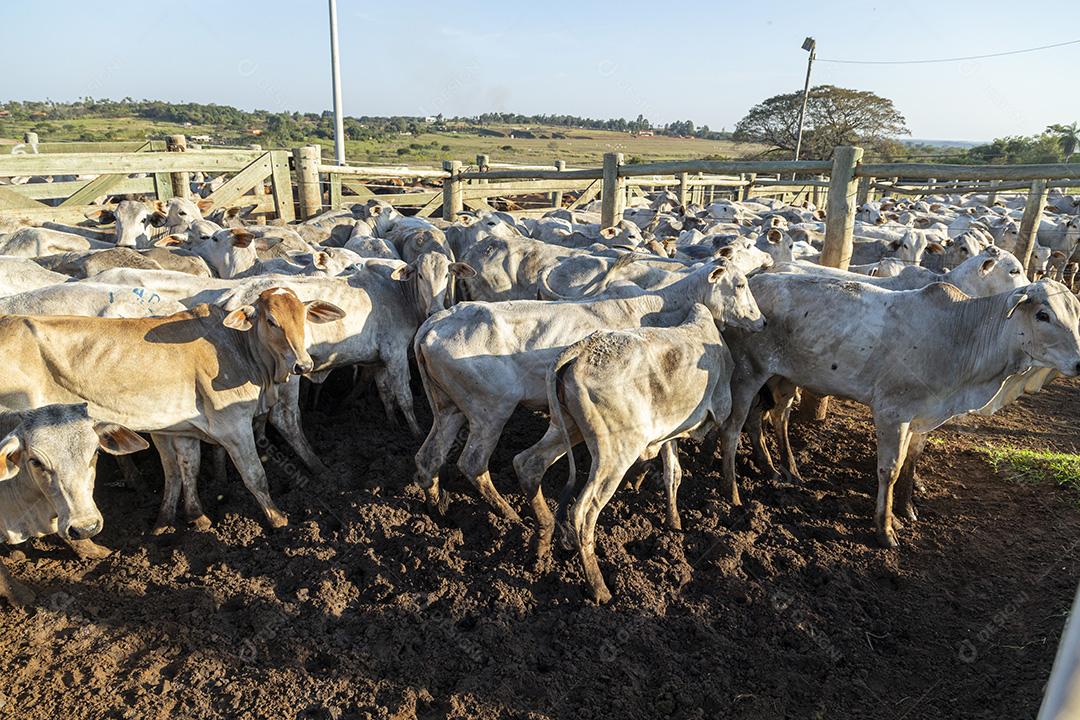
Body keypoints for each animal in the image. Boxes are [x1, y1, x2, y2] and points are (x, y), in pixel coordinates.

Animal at [413, 260, 762, 519]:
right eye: (740, 284)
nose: (761, 321)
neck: (658, 308)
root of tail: (433, 323)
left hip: (448, 410)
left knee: (428, 458)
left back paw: (436, 506)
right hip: (491, 412)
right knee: (473, 464)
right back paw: (510, 514)